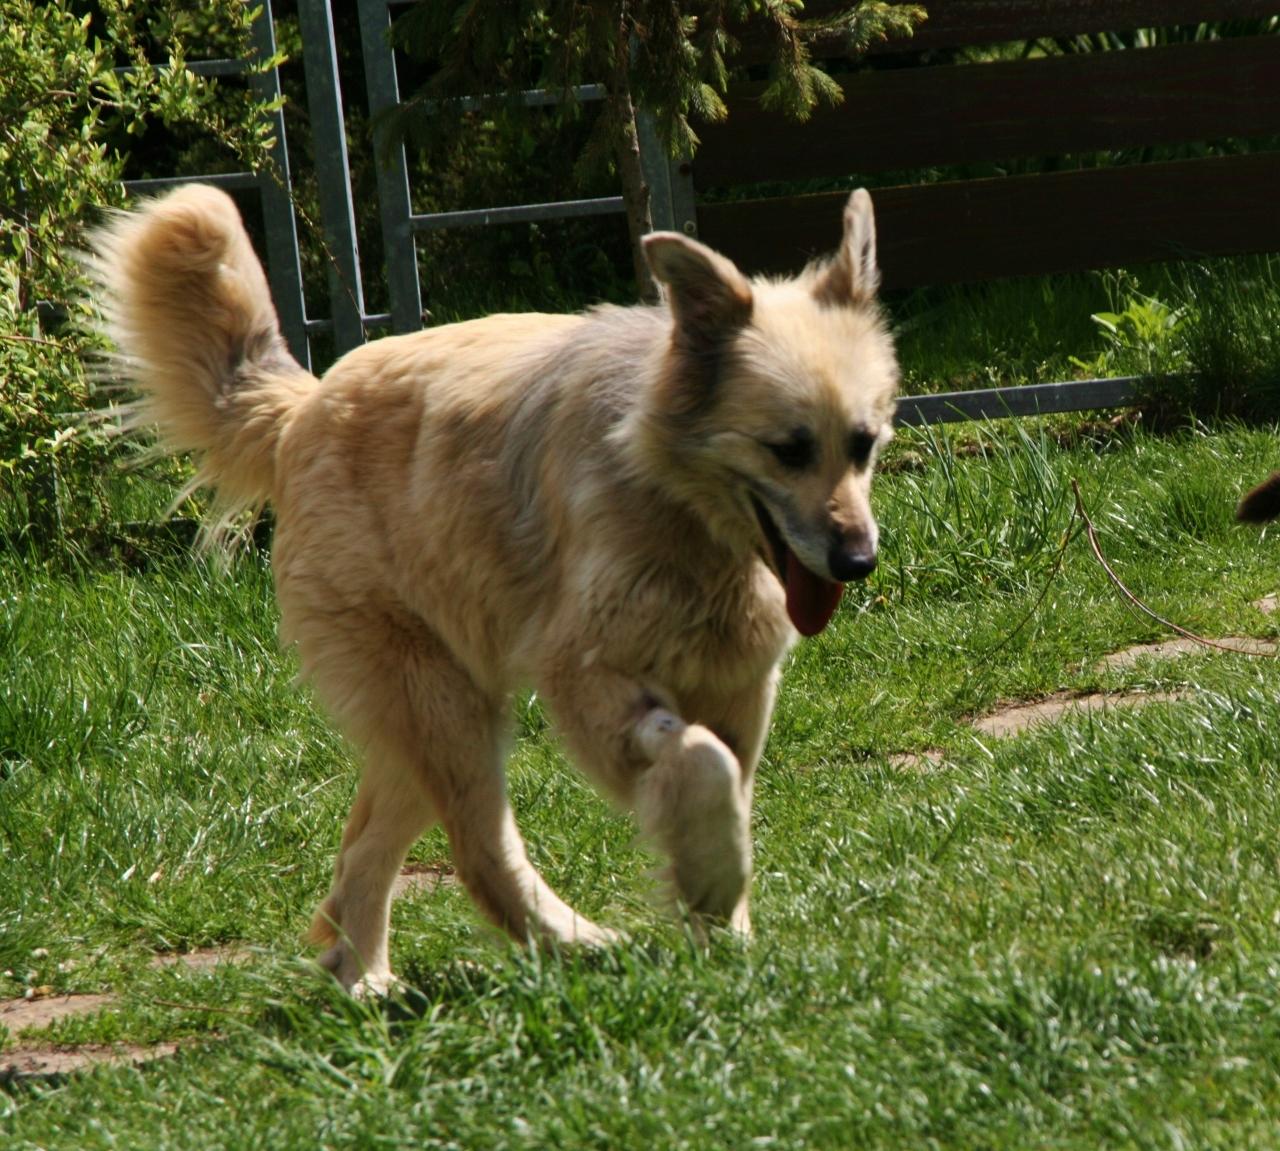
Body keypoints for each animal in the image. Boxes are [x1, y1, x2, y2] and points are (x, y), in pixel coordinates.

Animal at [89, 184, 899, 994]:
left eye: (863, 443)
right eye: (787, 449)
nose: (858, 560)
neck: (671, 494)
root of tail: (305, 407)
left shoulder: (740, 687)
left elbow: (729, 785)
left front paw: (724, 927)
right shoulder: (583, 675)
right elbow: (703, 763)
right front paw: (709, 885)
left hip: (427, 719)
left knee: (366, 847)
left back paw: (365, 979)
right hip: (445, 706)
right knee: (480, 852)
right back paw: (573, 945)